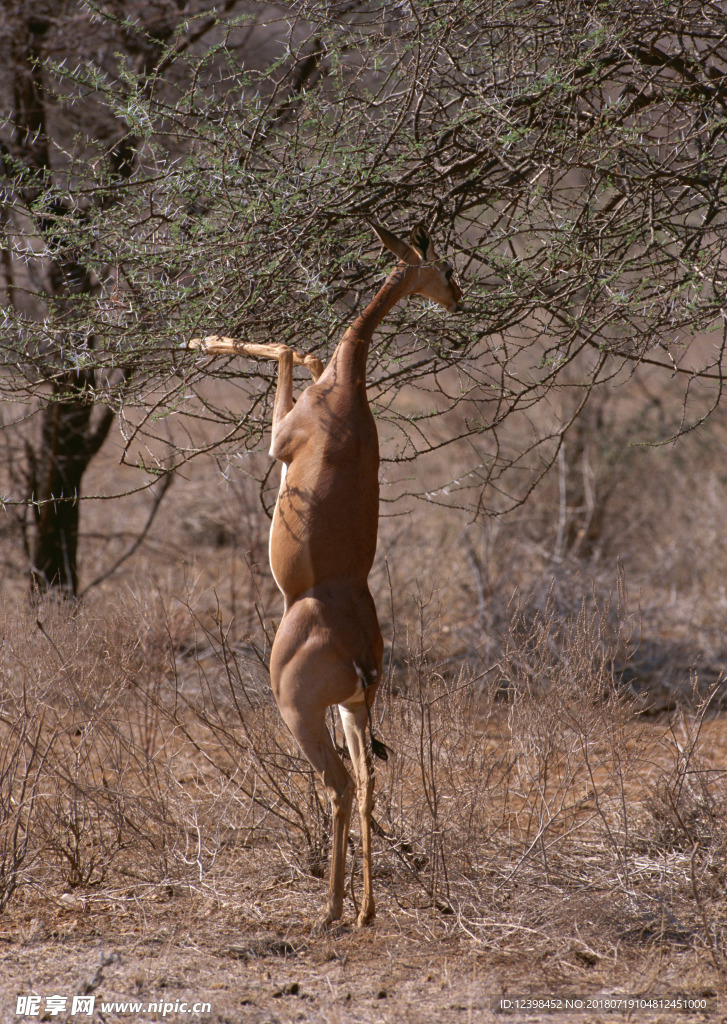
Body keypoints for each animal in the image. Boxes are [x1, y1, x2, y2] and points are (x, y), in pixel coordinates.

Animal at [188, 222, 460, 929]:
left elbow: (287, 346)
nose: (458, 298)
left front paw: (204, 340)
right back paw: (365, 910)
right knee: (367, 783)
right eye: (446, 266)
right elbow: (306, 349)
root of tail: (360, 652)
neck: (346, 391)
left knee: (338, 785)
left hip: (300, 712)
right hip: (353, 710)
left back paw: (331, 910)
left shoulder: (278, 439)